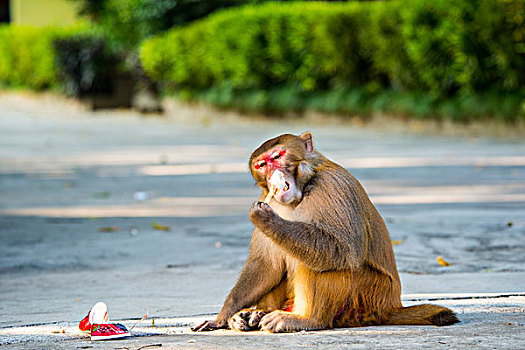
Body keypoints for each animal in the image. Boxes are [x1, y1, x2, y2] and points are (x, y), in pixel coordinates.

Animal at [193, 132, 458, 334]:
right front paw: (222, 316)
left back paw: (307, 319)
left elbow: (342, 250)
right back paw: (256, 314)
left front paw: (267, 220)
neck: (302, 189)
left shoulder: (332, 186)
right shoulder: (270, 198)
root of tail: (390, 307)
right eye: (262, 165)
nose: (272, 174)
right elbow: (266, 265)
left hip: (366, 297)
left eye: (277, 157)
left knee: (322, 260)